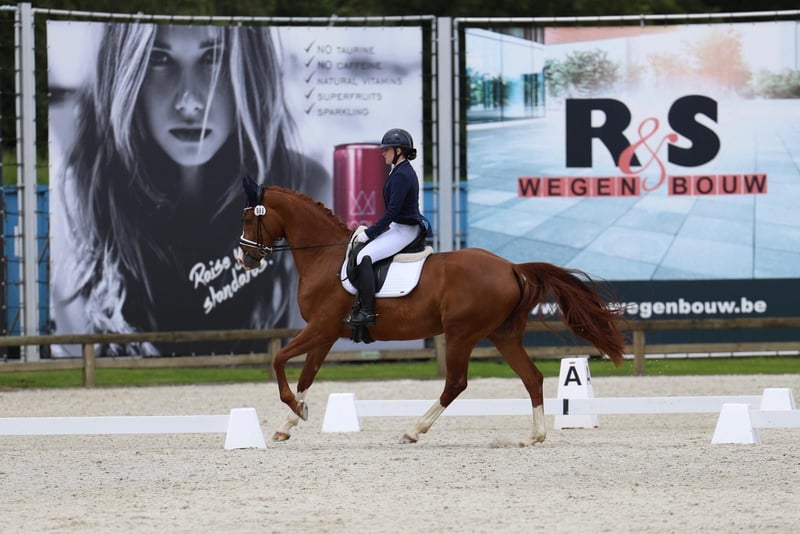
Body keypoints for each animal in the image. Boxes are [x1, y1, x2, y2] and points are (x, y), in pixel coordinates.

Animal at [238, 182, 626, 445]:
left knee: (456, 383)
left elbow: (278, 361)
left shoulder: (320, 328)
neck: (324, 257)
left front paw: (293, 409)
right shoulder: (326, 333)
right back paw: (535, 436)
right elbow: (306, 376)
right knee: (531, 377)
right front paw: (289, 422)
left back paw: (414, 430)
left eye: (247, 219)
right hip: (502, 334)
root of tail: (511, 267)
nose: (246, 259)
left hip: (461, 334)